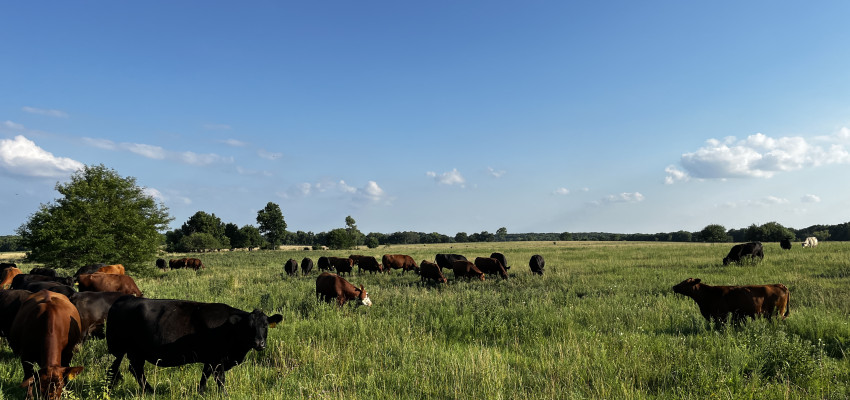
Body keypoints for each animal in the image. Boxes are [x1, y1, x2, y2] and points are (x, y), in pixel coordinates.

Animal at [106, 296, 282, 396]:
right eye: (249, 326)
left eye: (265, 325)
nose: (259, 343)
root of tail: (124, 299)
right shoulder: (217, 358)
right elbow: (220, 379)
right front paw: (224, 394)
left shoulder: (210, 359)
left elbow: (205, 376)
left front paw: (201, 392)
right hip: (118, 350)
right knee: (115, 370)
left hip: (136, 352)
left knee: (135, 370)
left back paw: (148, 391)